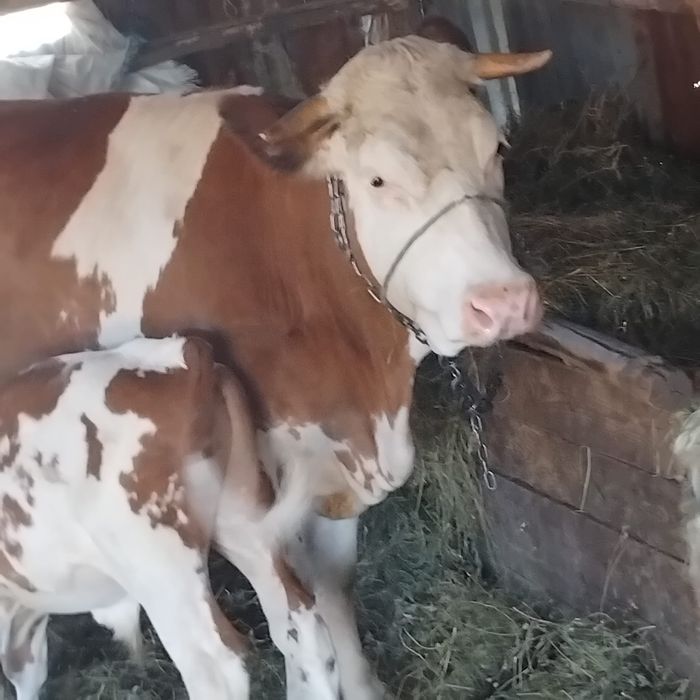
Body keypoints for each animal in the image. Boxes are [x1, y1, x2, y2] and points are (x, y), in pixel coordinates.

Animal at [0, 336, 338, 700]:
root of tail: (183, 358)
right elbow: (26, 668)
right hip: (243, 523)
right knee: (300, 627)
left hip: (161, 570)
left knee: (216, 668)